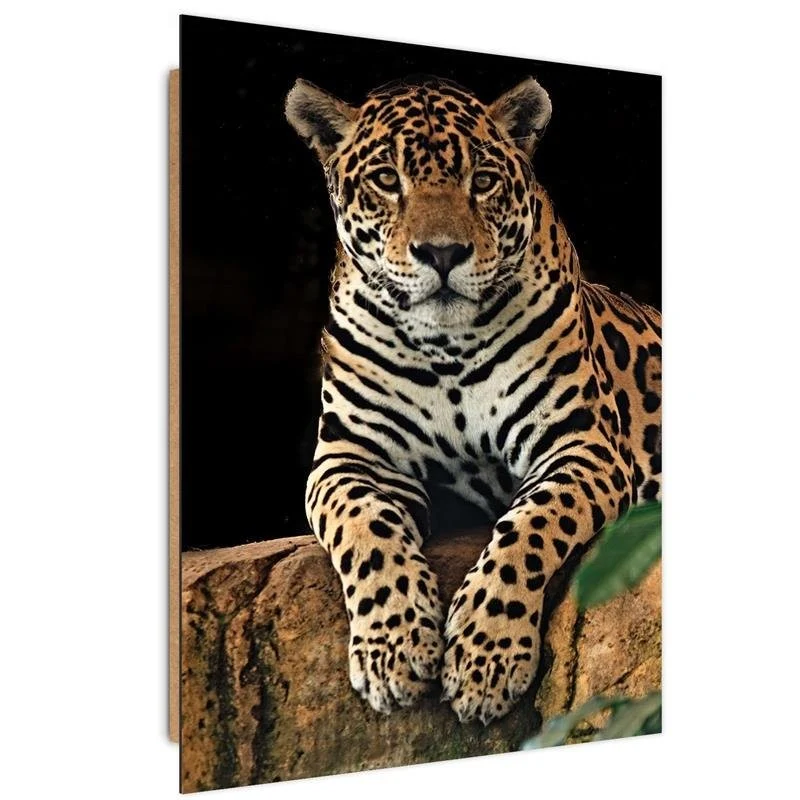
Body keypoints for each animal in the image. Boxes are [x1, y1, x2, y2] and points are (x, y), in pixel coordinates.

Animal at [285, 74, 661, 725]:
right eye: (387, 179)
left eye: (481, 181)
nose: (442, 253)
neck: (446, 348)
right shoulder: (349, 457)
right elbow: (365, 528)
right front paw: (393, 650)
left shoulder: (580, 445)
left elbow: (531, 528)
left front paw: (487, 656)